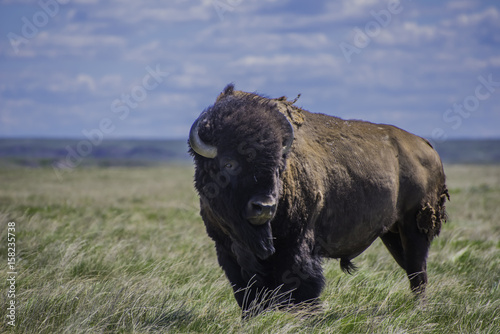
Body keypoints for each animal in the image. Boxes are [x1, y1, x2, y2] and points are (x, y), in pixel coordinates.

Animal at [188, 83, 450, 316]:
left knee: (418, 272)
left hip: (414, 227)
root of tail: (427, 147)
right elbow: (247, 295)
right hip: (392, 233)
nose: (265, 207)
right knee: (411, 269)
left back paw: (420, 310)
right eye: (228, 163)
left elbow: (303, 291)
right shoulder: (227, 250)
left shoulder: (297, 247)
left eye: (279, 166)